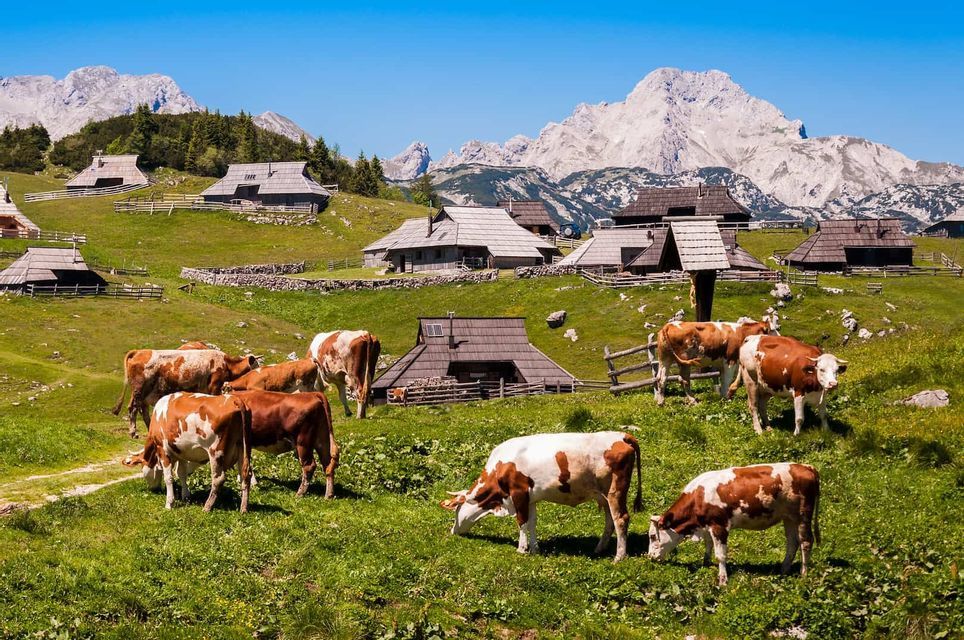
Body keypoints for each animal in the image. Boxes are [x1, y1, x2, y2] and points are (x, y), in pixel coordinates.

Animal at [112, 349, 259, 438]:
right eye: (256, 364)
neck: (226, 364)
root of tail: (140, 351)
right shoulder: (214, 386)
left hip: (144, 393)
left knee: (143, 411)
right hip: (139, 390)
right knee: (133, 409)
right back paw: (133, 432)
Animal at [122, 392, 253, 513]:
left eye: (142, 468)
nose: (153, 489)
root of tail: (234, 399)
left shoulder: (163, 450)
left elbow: (168, 477)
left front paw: (169, 503)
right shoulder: (181, 452)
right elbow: (181, 473)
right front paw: (186, 496)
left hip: (215, 451)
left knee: (218, 479)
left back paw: (207, 507)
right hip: (243, 448)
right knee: (246, 476)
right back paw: (243, 508)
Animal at [440, 432, 642, 562]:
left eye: (456, 510)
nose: (452, 531)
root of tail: (622, 435)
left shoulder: (518, 492)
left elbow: (521, 521)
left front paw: (522, 549)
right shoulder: (530, 498)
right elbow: (532, 522)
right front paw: (535, 548)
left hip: (615, 491)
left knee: (621, 519)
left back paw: (619, 557)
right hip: (604, 496)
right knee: (610, 521)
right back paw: (599, 549)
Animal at [648, 463, 820, 585]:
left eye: (652, 536)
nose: (650, 557)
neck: (699, 496)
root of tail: (807, 467)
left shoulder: (720, 526)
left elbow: (721, 555)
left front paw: (723, 580)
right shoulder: (708, 525)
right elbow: (708, 545)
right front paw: (706, 563)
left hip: (803, 515)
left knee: (806, 542)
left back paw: (804, 574)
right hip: (789, 517)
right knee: (792, 542)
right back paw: (783, 570)